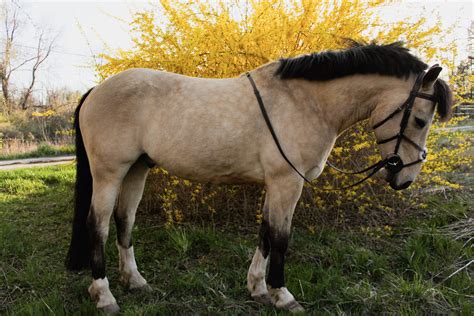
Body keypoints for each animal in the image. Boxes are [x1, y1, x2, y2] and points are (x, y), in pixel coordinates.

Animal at [65, 42, 454, 314]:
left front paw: (258, 289)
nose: (405, 177)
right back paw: (105, 296)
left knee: (125, 221)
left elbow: (265, 233)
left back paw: (134, 281)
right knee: (97, 226)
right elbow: (280, 238)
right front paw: (284, 296)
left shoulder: (276, 184)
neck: (306, 102)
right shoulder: (287, 183)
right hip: (109, 173)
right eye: (420, 120)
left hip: (136, 169)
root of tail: (95, 91)